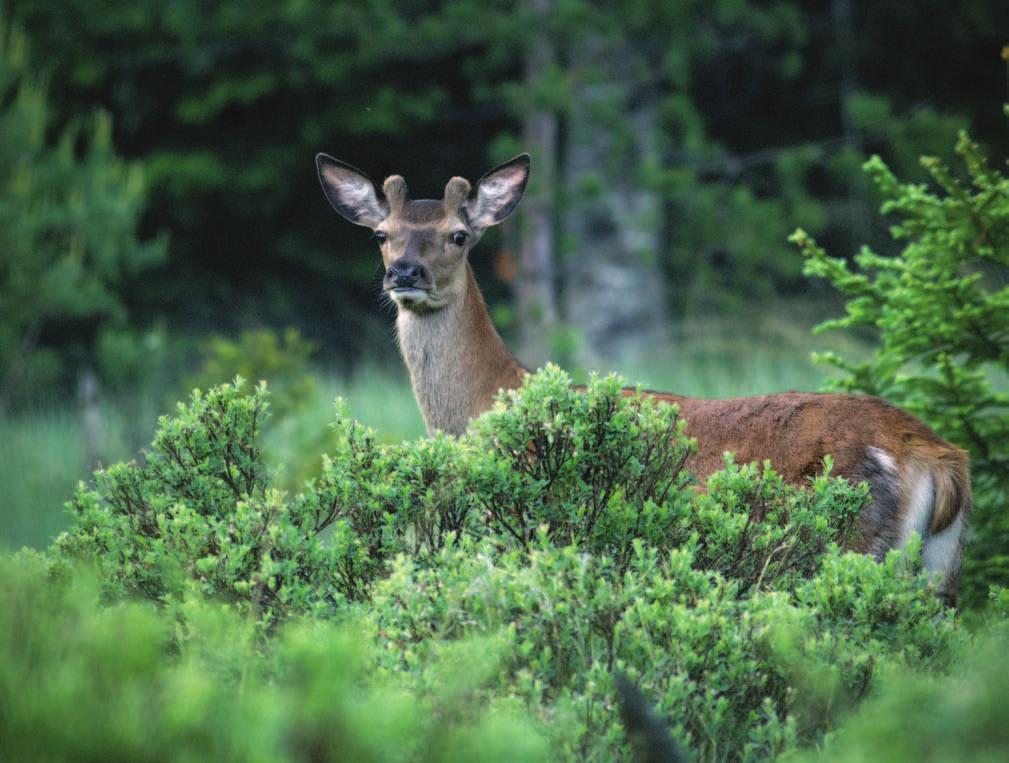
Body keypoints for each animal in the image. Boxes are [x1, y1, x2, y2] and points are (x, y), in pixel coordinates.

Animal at [312, 149, 968, 605]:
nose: (405, 272)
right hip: (938, 570)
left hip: (852, 545)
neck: (493, 404)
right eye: (381, 234)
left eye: (458, 234)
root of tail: (936, 457)